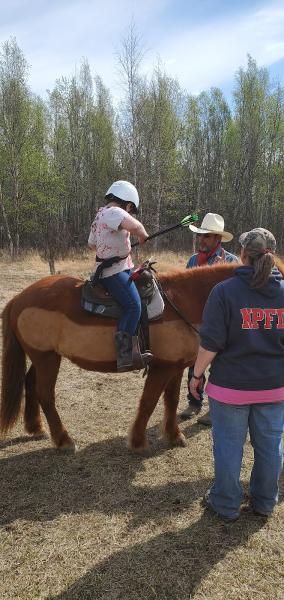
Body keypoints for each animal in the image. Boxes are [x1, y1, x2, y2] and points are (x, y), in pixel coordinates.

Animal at [1, 262, 239, 450]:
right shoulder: (161, 368)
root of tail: (18, 299)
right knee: (45, 394)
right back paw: (63, 440)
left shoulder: (175, 366)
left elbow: (171, 400)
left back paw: (36, 428)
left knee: (30, 383)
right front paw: (138, 441)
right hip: (47, 358)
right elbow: (149, 401)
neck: (184, 301)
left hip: (42, 357)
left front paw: (174, 436)